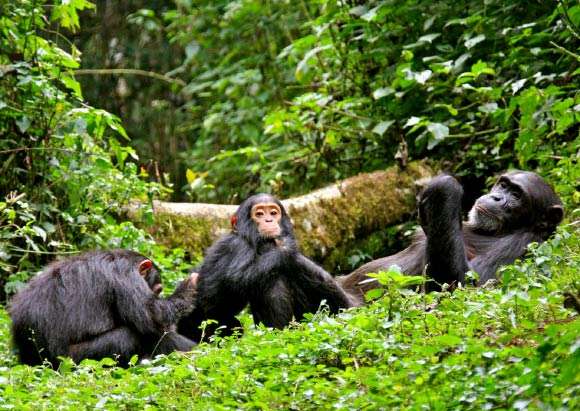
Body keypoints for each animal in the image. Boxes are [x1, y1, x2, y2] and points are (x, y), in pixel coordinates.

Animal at [9, 249, 197, 368]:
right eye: (158, 290)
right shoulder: (125, 275)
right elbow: (152, 315)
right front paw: (188, 286)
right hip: (75, 360)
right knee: (127, 337)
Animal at [338, 171, 564, 302]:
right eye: (504, 185)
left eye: (516, 195)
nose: (496, 197)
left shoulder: (523, 245)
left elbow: (463, 285)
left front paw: (445, 186)